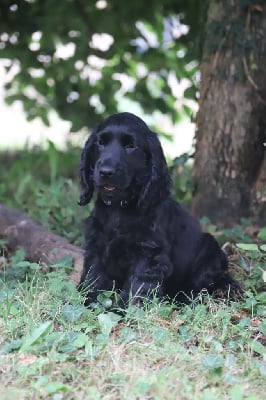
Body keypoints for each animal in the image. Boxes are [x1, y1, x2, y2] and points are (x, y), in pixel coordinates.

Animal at [78, 112, 237, 306]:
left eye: (130, 146)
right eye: (100, 143)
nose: (106, 171)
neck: (120, 207)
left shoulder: (149, 254)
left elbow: (138, 286)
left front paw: (124, 309)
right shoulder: (96, 246)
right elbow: (93, 277)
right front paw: (88, 302)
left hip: (211, 250)